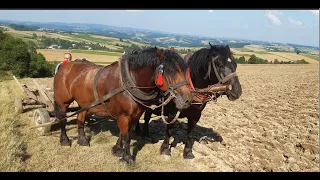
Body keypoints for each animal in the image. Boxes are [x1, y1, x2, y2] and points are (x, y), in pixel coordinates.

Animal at [54, 46, 194, 165]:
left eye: (184, 71)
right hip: (62, 102)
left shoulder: (133, 115)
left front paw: (117, 150)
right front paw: (127, 158)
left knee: (81, 119)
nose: (187, 100)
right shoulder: (124, 116)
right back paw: (65, 140)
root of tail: (65, 67)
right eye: (170, 72)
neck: (129, 83)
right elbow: (127, 137)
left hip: (84, 103)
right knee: (63, 120)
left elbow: (123, 134)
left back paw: (82, 140)